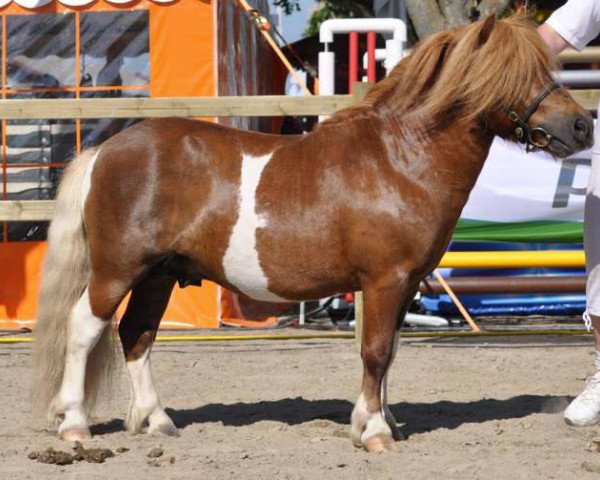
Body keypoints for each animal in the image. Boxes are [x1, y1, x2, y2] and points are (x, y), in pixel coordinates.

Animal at [35, 14, 592, 450]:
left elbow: (390, 351)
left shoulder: (406, 283)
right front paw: (374, 432)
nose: (582, 126)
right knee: (84, 327)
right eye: (514, 74)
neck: (398, 158)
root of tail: (105, 150)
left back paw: (156, 421)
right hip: (117, 269)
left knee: (137, 335)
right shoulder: (385, 280)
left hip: (160, 275)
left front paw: (380, 419)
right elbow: (375, 351)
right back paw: (75, 425)